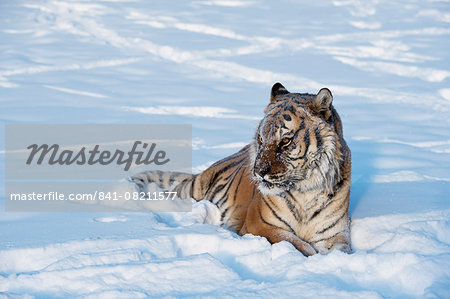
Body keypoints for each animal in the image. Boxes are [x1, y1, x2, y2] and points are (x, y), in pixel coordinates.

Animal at [130, 84, 352, 258]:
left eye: (285, 141)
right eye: (261, 139)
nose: (258, 172)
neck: (306, 191)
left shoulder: (336, 234)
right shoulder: (261, 226)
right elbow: (297, 245)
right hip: (194, 189)